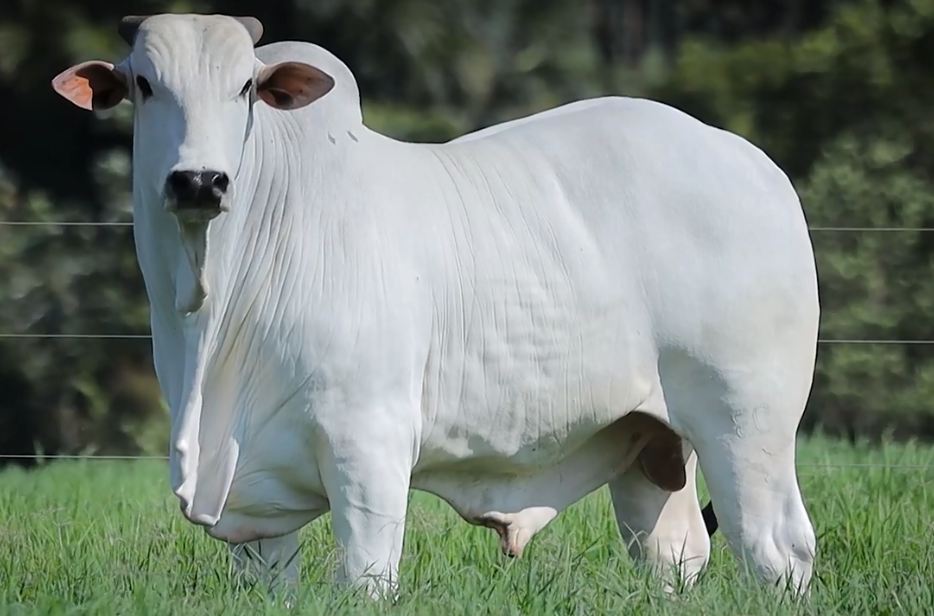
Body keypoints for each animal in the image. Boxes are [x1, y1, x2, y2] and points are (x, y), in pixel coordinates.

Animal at [51, 12, 820, 600]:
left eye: (246, 86)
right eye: (145, 84)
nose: (200, 181)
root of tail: (756, 163)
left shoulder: (369, 448)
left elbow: (365, 580)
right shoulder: (256, 506)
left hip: (747, 422)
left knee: (777, 549)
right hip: (650, 443)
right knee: (672, 555)